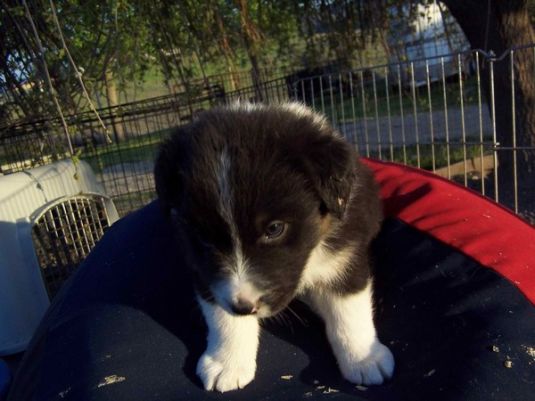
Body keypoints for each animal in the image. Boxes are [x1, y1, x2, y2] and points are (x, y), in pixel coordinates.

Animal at [154, 102, 394, 390]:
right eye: (203, 236)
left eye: (274, 229)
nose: (244, 307)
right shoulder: (203, 269)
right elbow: (223, 317)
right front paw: (227, 364)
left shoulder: (345, 256)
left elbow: (348, 312)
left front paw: (364, 359)